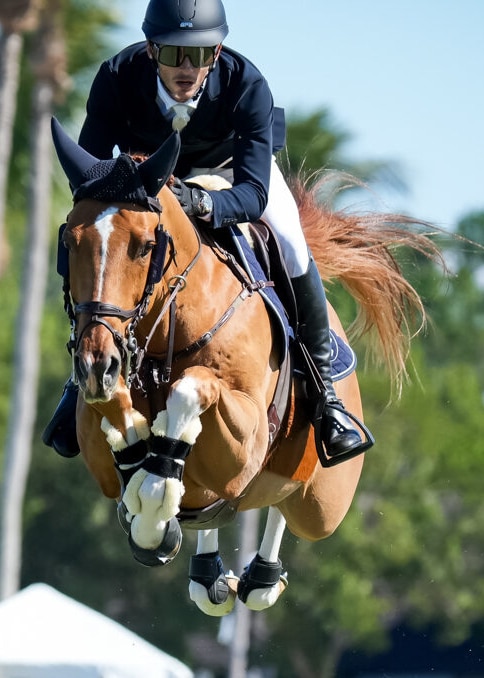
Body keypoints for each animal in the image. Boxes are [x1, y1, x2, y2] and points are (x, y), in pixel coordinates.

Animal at [50, 117, 441, 616]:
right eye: (69, 242)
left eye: (144, 247)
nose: (97, 363)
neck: (164, 339)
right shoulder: (98, 436)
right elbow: (119, 421)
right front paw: (145, 490)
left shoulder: (246, 438)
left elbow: (191, 389)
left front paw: (155, 501)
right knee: (219, 511)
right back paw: (210, 575)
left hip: (323, 506)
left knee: (287, 501)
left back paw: (261, 579)